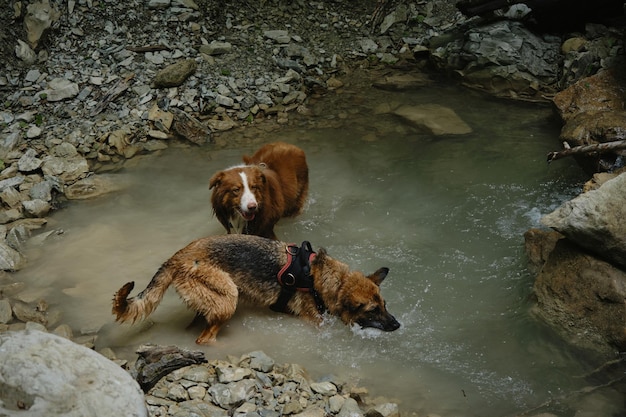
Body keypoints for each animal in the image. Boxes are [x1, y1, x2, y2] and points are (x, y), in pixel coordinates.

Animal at [111, 234, 400, 344]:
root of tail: (178, 256)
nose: (397, 325)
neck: (323, 278)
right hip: (229, 297)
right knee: (205, 338)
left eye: (385, 305)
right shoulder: (313, 323)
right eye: (373, 310)